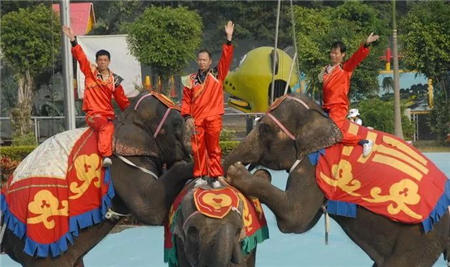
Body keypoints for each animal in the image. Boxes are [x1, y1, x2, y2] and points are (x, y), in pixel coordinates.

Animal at [1, 92, 195, 267]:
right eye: (177, 123)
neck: (124, 117)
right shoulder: (122, 162)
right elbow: (150, 209)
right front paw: (193, 166)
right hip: (44, 245)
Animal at [225, 93, 450, 266]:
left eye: (265, 129)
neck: (323, 117)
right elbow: (305, 221)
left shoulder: (313, 166)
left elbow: (295, 219)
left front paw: (237, 173)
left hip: (419, 238)